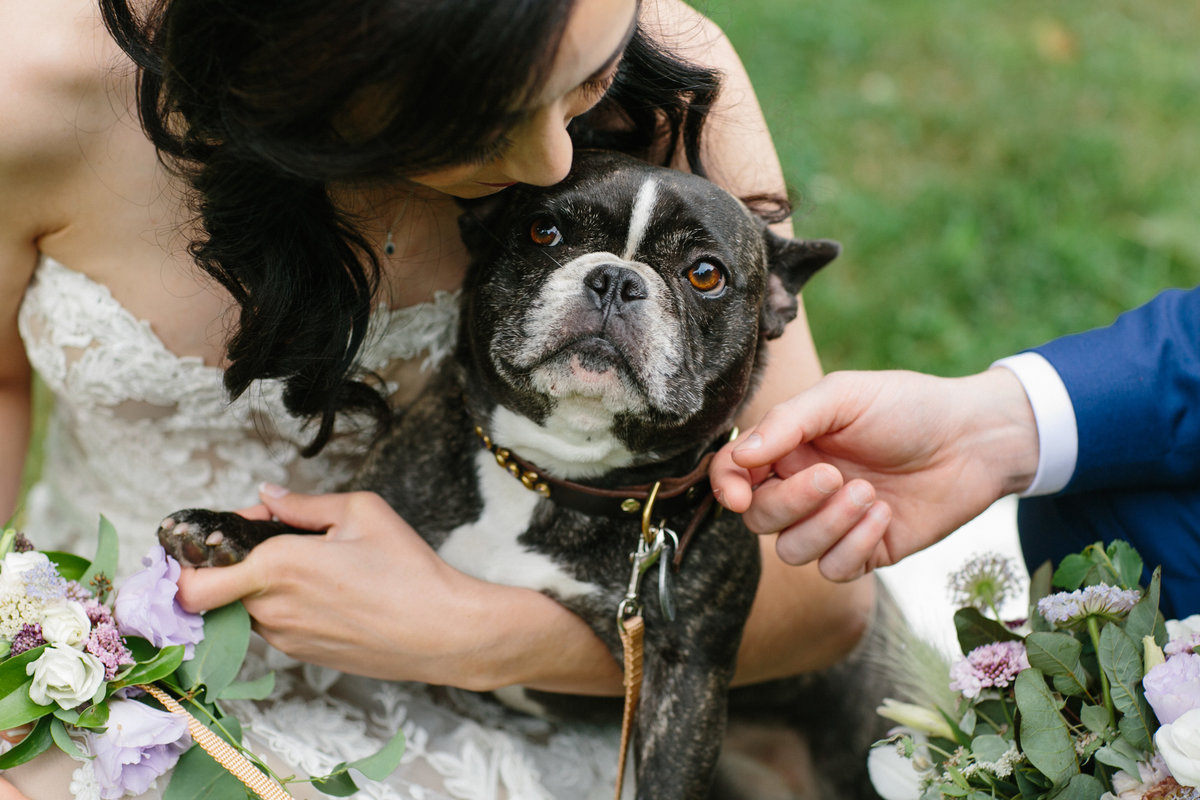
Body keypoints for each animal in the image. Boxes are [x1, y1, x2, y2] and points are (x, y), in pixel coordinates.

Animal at [157, 151, 892, 800]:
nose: (616, 279)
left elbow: (668, 777)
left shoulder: (687, 679)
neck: (548, 478)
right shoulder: (373, 507)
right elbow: (301, 532)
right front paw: (226, 531)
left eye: (706, 274)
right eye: (545, 232)